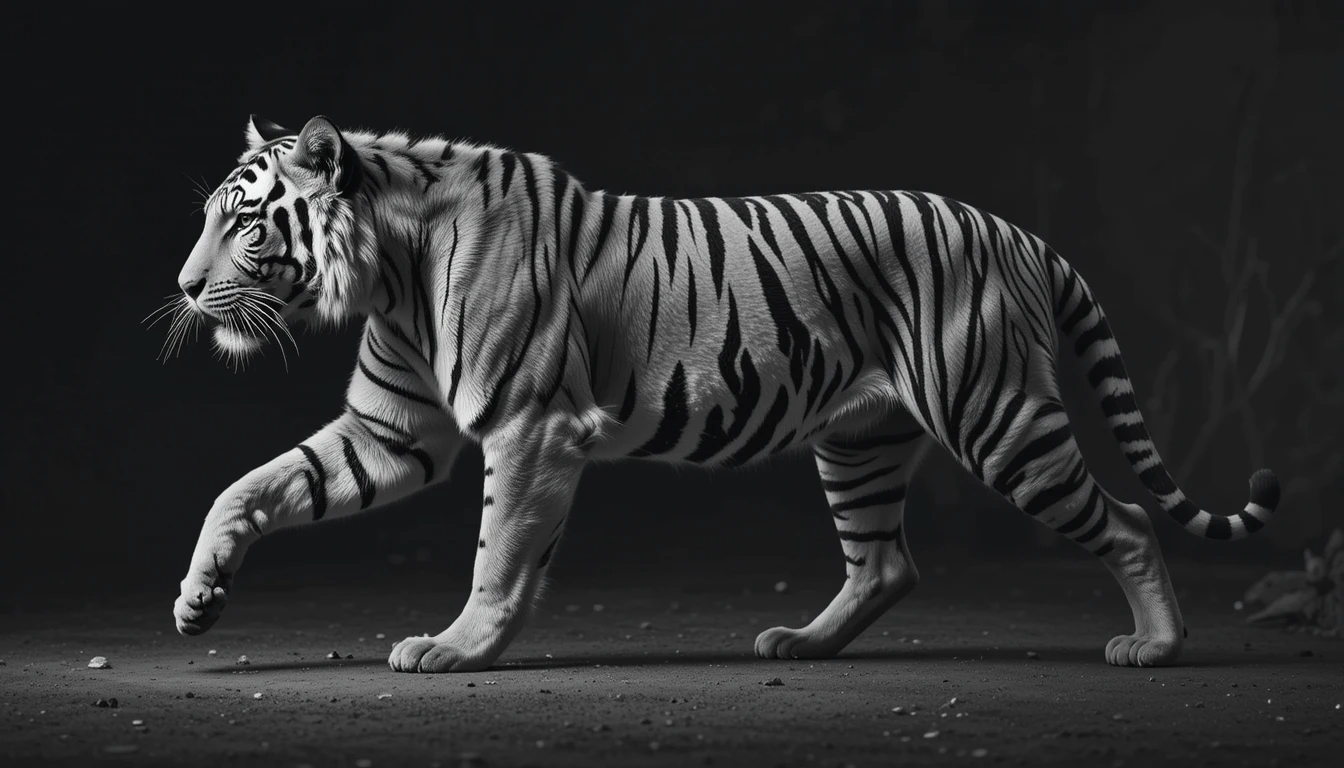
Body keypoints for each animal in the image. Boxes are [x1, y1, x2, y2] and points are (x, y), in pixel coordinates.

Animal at [167, 114, 1281, 672]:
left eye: (246, 219)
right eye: (214, 216)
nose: (181, 286)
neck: (389, 270)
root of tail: (1017, 232)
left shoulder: (530, 428)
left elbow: (498, 554)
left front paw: (456, 647)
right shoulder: (392, 429)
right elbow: (249, 486)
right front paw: (198, 597)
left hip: (998, 417)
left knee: (1128, 519)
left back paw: (1156, 646)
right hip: (860, 440)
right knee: (886, 563)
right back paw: (804, 643)